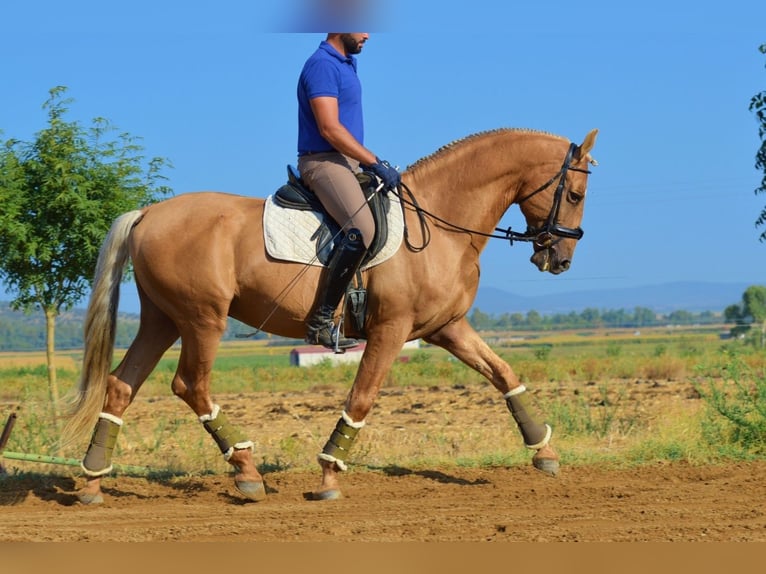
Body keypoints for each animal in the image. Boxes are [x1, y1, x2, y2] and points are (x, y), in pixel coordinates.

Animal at [64, 127, 600, 504]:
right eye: (575, 195)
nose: (560, 260)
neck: (441, 223)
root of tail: (148, 213)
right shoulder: (391, 330)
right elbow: (361, 399)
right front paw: (328, 475)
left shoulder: (446, 328)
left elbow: (503, 372)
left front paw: (544, 451)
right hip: (202, 320)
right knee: (190, 385)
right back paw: (247, 472)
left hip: (162, 320)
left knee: (121, 385)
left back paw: (92, 482)